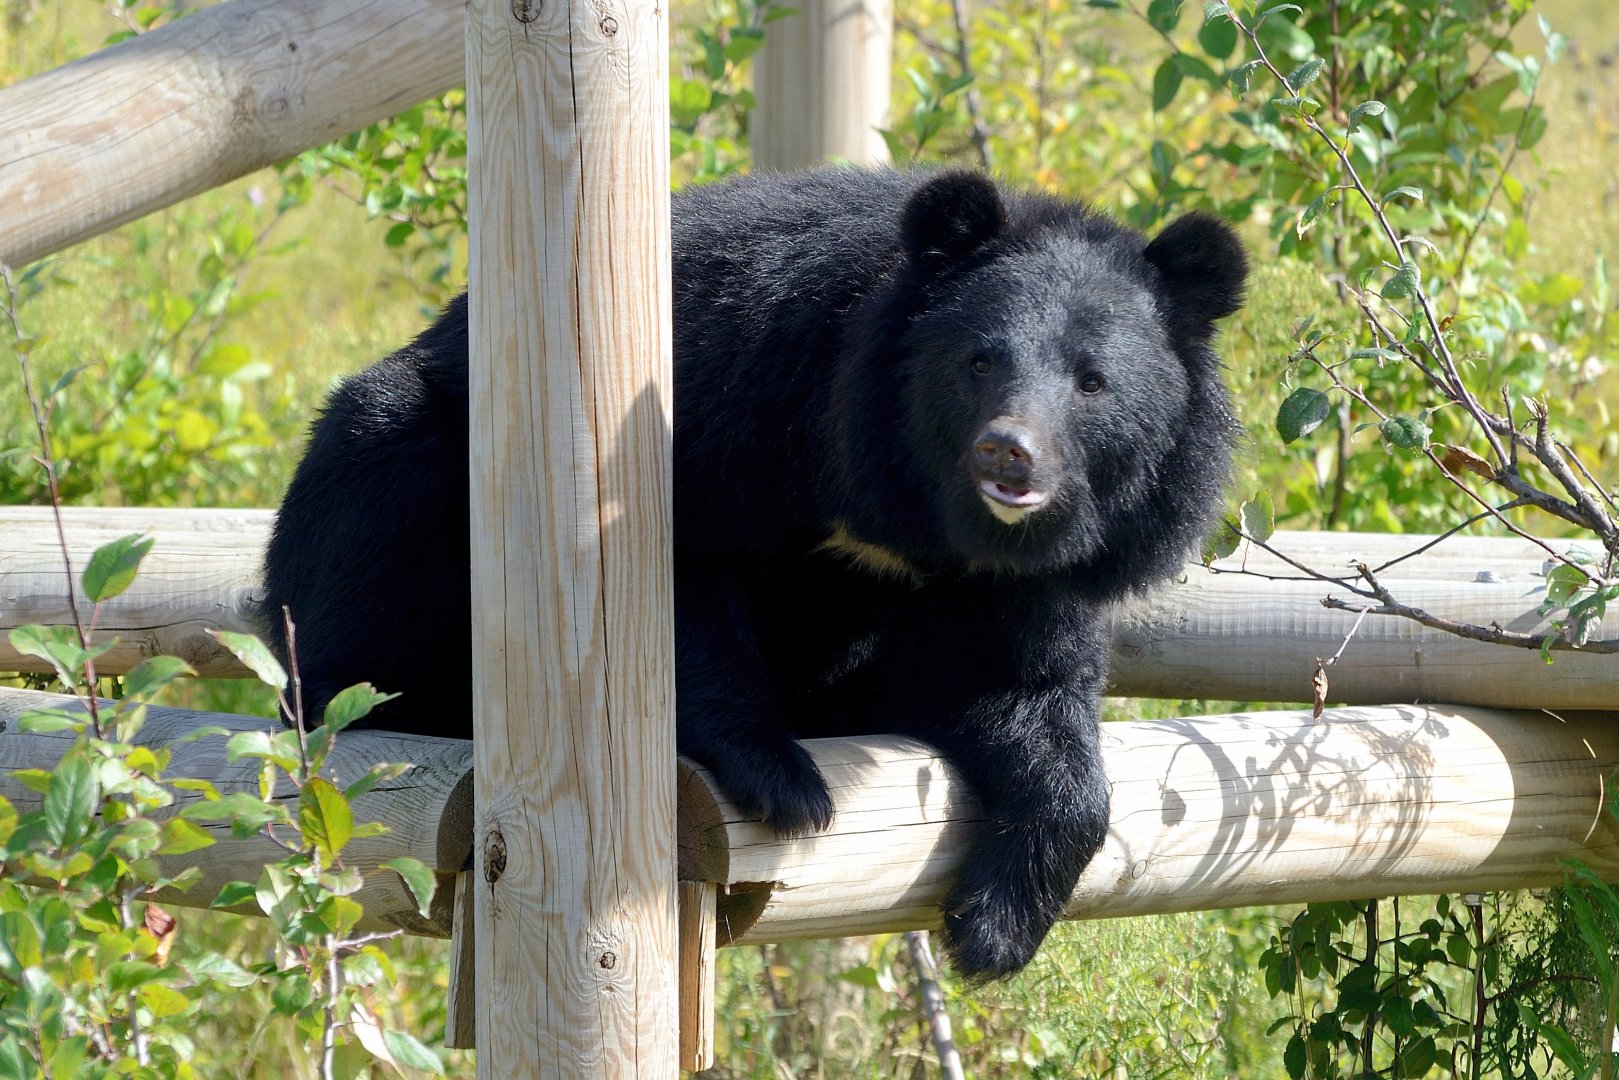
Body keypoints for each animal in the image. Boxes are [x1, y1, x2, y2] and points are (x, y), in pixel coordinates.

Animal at [259, 166, 1246, 979]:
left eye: (1092, 382)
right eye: (978, 361)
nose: (1009, 453)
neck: (921, 519)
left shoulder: (1032, 574)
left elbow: (1021, 692)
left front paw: (991, 932)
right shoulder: (744, 385)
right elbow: (671, 570)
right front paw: (787, 785)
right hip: (398, 472)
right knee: (374, 474)